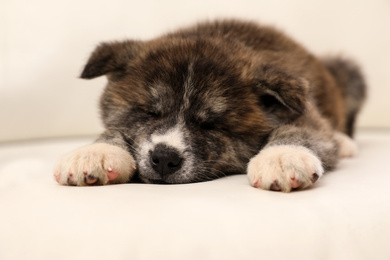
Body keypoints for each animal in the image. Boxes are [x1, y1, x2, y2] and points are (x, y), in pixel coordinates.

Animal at [54, 19, 366, 191]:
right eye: (150, 112)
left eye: (211, 125)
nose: (164, 158)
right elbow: (114, 130)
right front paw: (96, 152)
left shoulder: (303, 110)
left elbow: (301, 130)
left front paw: (282, 157)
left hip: (350, 72)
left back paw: (344, 142)